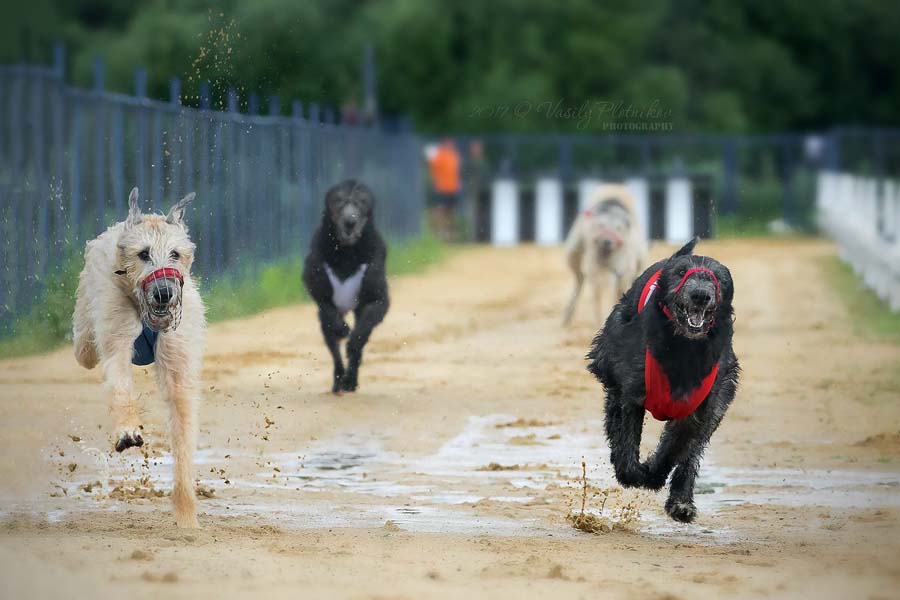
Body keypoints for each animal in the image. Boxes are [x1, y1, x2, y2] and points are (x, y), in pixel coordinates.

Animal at [72, 189, 206, 528]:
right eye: (143, 253)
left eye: (175, 254)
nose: (164, 293)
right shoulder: (117, 335)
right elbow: (119, 381)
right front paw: (127, 430)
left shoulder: (178, 355)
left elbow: (182, 420)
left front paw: (186, 512)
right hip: (85, 328)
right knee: (86, 350)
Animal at [304, 178, 388, 394]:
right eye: (339, 201)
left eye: (361, 202)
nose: (350, 220)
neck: (347, 252)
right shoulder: (321, 289)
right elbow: (326, 307)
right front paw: (341, 328)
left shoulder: (376, 297)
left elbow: (366, 324)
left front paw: (353, 342)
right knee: (333, 346)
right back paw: (339, 379)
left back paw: (351, 379)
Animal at [564, 183, 648, 326]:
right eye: (600, 225)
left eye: (619, 228)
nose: (607, 241)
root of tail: (613, 186)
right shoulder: (595, 261)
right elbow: (599, 285)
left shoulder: (625, 262)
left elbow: (622, 282)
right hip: (575, 248)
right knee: (579, 276)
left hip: (639, 256)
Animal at [588, 238, 740, 520]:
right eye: (681, 272)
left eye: (718, 279)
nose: (700, 295)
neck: (683, 348)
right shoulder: (631, 393)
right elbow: (626, 441)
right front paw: (635, 474)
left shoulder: (698, 406)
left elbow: (677, 447)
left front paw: (655, 475)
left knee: (692, 452)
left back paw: (681, 501)